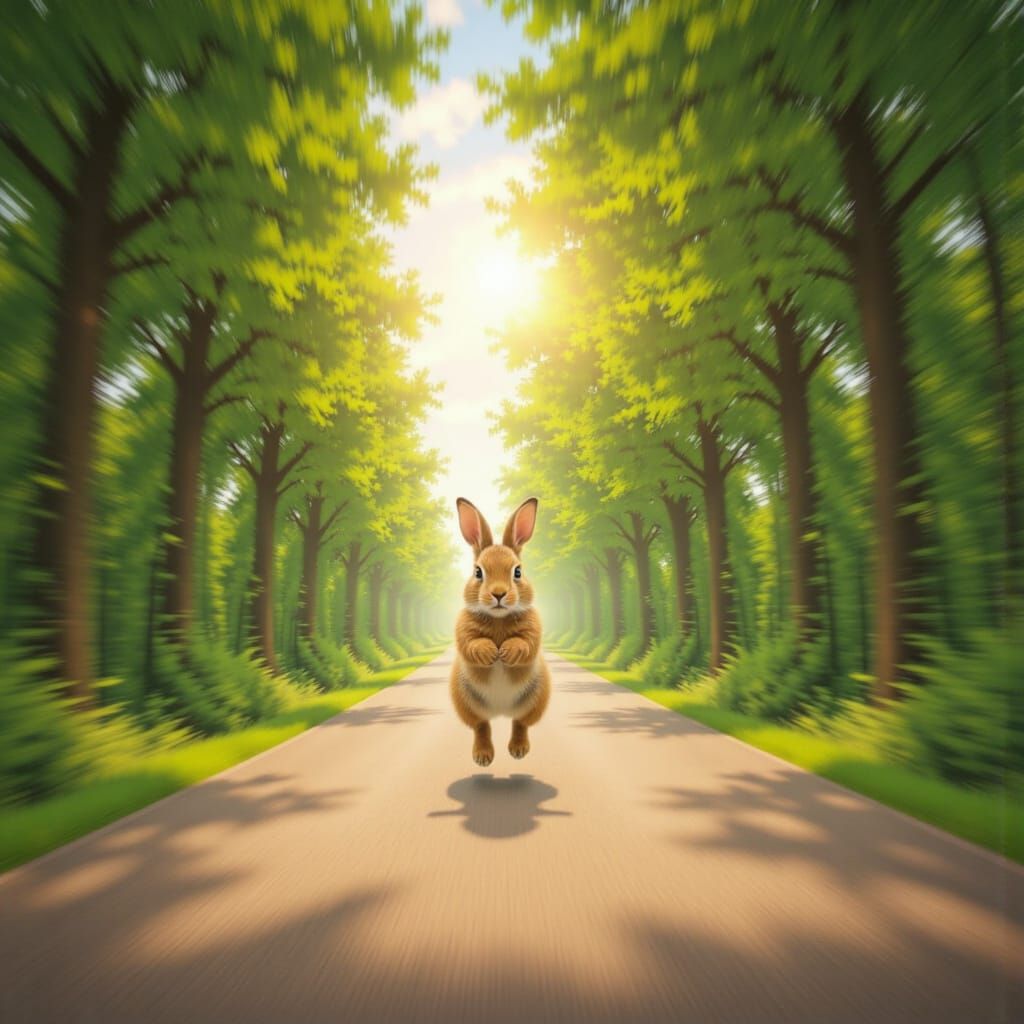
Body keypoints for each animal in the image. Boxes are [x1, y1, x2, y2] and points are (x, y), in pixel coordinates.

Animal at [450, 496, 551, 766]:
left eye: (517, 571)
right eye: (477, 572)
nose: (498, 594)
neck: (498, 619)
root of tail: (500, 711)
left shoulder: (534, 629)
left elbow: (526, 643)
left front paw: (507, 651)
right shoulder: (462, 631)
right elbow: (470, 644)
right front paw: (489, 653)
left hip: (536, 699)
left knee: (520, 723)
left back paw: (518, 750)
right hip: (465, 702)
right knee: (481, 726)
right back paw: (483, 756)